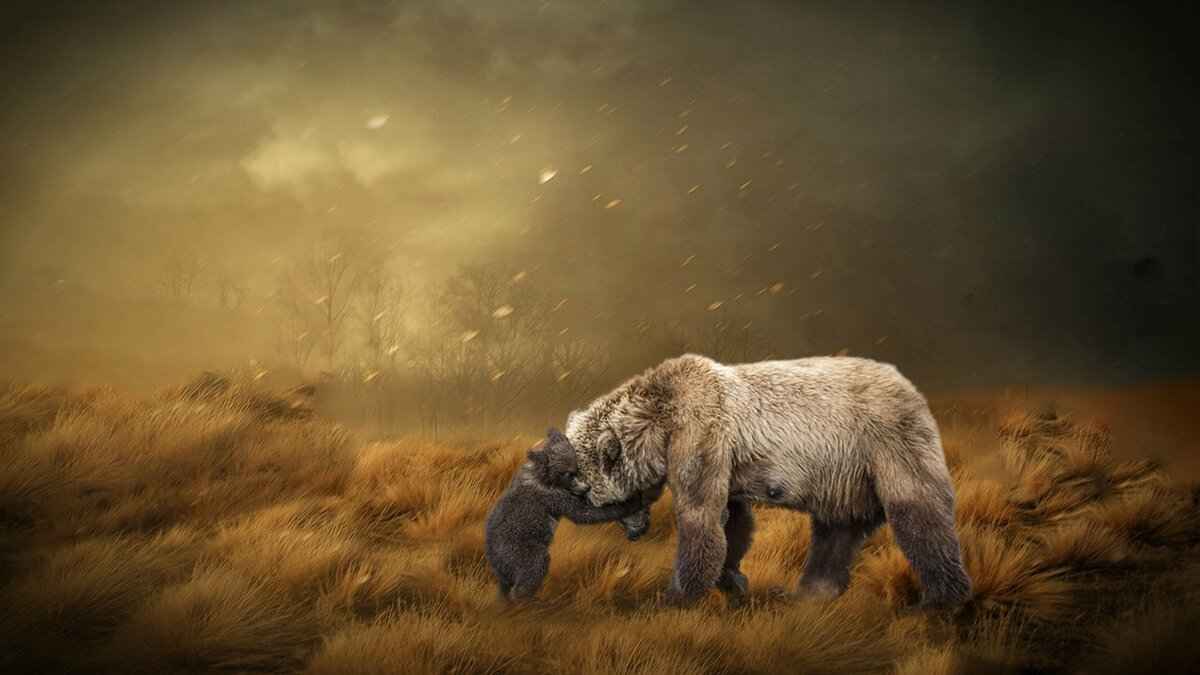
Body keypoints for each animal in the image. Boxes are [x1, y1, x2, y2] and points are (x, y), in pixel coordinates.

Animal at [484, 428, 655, 602]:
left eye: (577, 468)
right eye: (568, 474)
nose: (586, 487)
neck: (543, 477)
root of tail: (492, 558)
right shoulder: (553, 496)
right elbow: (583, 513)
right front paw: (632, 501)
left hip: (505, 568)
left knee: (506, 586)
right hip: (518, 549)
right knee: (533, 568)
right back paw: (528, 600)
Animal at [564, 353, 972, 609]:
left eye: (579, 486)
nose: (633, 530)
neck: (660, 416)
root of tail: (910, 386)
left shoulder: (702, 432)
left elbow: (700, 516)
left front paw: (676, 594)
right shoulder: (725, 459)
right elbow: (732, 521)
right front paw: (731, 580)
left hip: (883, 441)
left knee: (918, 511)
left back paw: (940, 599)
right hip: (844, 477)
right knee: (835, 532)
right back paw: (808, 592)